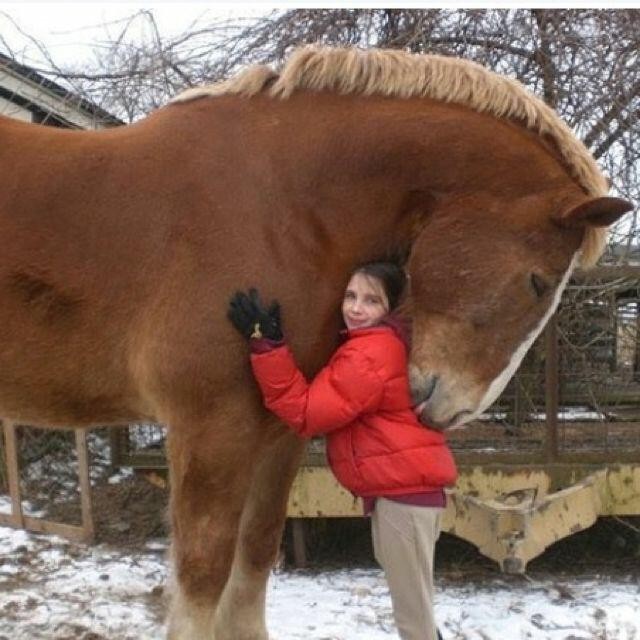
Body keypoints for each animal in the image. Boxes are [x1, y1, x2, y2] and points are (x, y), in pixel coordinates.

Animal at [0, 46, 632, 636]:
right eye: (538, 280)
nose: (451, 410)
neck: (277, 207)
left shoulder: (278, 433)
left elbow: (254, 561)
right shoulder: (210, 430)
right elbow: (203, 577)